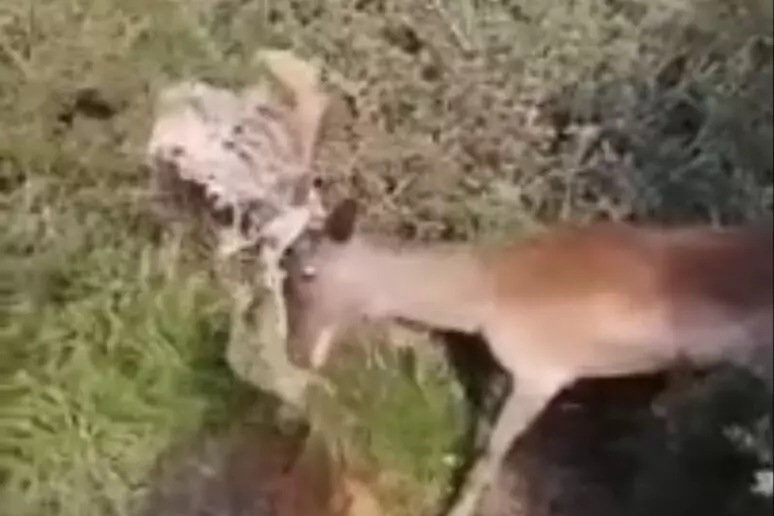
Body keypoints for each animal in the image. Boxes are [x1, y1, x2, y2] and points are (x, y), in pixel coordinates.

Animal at [279, 197, 773, 516]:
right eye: (282, 267)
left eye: (308, 273)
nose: (297, 353)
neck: (488, 291)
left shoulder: (540, 378)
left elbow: (488, 458)